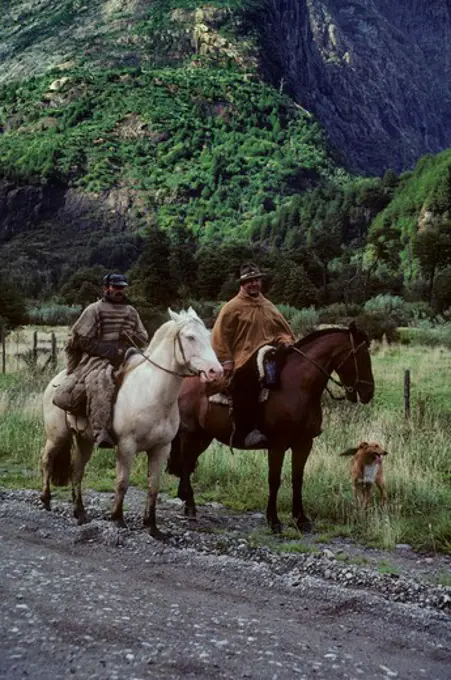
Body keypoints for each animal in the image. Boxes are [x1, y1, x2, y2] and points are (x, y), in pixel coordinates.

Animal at [40, 308, 222, 536]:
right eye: (190, 337)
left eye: (208, 335)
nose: (216, 372)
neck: (152, 393)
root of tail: (55, 381)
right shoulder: (127, 446)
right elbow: (122, 482)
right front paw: (118, 518)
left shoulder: (161, 448)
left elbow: (153, 486)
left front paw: (152, 526)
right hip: (57, 436)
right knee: (46, 460)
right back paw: (46, 500)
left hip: (85, 441)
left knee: (77, 470)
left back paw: (80, 513)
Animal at [169, 322, 374, 532]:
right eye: (360, 355)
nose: (369, 392)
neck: (298, 386)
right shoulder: (277, 445)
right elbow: (274, 480)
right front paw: (274, 520)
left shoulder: (303, 444)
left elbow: (297, 479)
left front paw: (301, 519)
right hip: (190, 433)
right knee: (186, 464)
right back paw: (190, 506)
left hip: (204, 437)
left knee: (188, 463)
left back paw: (185, 500)